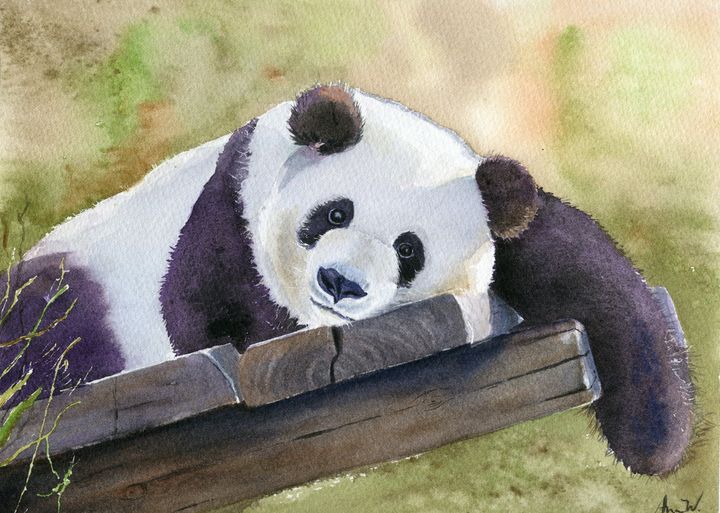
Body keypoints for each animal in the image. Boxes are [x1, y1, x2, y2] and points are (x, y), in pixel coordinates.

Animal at [0, 84, 693, 477]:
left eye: (409, 250)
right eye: (335, 213)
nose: (340, 283)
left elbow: (593, 279)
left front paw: (653, 437)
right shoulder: (230, 208)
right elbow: (204, 307)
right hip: (77, 291)